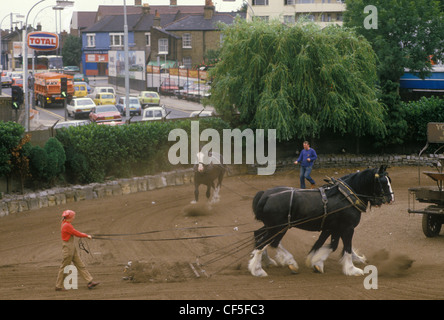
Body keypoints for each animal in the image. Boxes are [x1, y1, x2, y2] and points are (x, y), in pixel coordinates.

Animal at [248, 166, 394, 276]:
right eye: (383, 182)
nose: (391, 199)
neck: (346, 197)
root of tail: (266, 195)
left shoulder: (332, 228)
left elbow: (325, 244)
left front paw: (315, 261)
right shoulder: (347, 227)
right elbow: (344, 246)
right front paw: (351, 269)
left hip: (272, 226)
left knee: (261, 236)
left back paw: (268, 261)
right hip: (278, 227)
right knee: (266, 242)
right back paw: (259, 269)